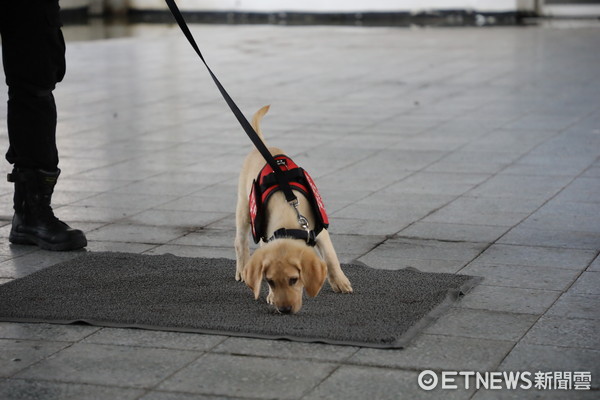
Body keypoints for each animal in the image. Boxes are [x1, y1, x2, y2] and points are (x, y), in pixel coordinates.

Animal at [236, 104, 352, 314]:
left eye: (294, 280)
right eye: (270, 282)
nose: (285, 310)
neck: (289, 219)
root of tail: (263, 148)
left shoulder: (319, 232)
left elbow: (331, 258)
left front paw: (341, 282)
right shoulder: (267, 238)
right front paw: (271, 297)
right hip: (244, 207)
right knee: (240, 241)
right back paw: (241, 269)